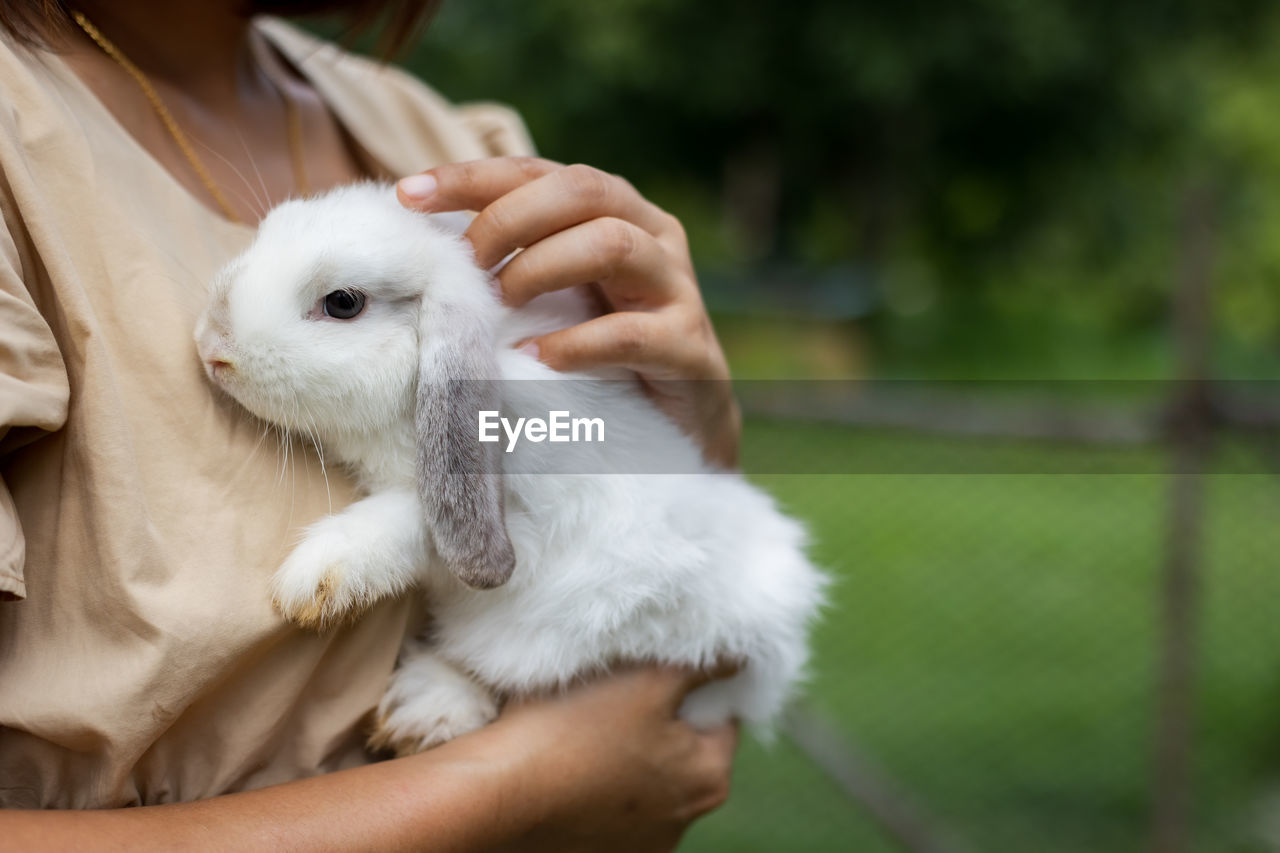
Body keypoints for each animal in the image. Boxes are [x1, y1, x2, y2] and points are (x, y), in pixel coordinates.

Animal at [193, 184, 824, 753]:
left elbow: (414, 517)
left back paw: (427, 708)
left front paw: (313, 578)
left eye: (343, 303)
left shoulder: (529, 504)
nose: (211, 346)